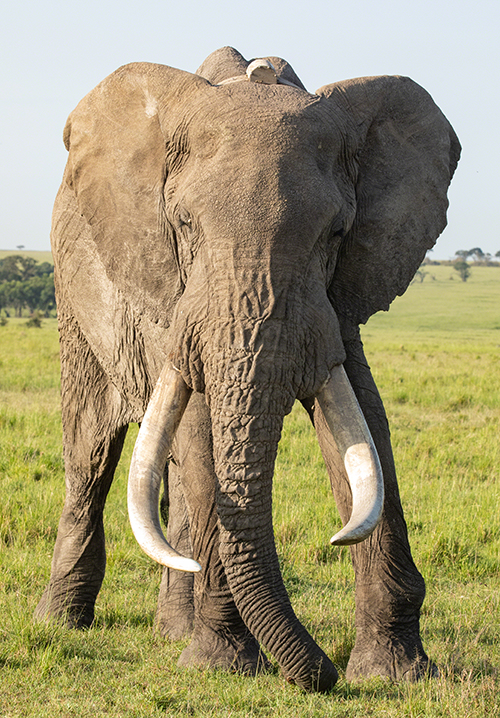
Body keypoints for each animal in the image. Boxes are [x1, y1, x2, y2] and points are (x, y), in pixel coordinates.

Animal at [35, 47, 460, 693]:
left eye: (337, 233)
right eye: (184, 225)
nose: (323, 675)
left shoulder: (337, 294)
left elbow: (364, 425)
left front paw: (394, 675)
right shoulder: (169, 287)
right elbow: (198, 430)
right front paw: (224, 666)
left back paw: (174, 631)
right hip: (72, 298)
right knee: (90, 451)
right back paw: (61, 622)